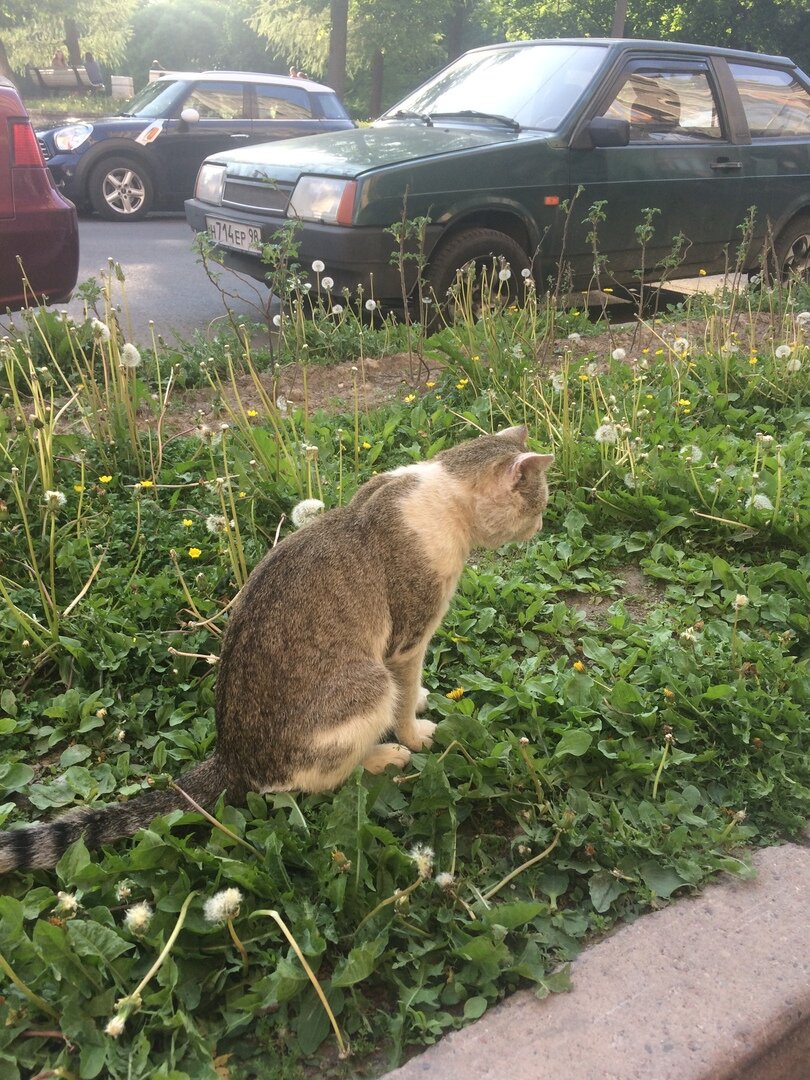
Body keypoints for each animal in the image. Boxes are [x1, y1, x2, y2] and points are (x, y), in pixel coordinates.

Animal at [0, 425, 552, 872]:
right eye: (540, 502)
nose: (541, 524)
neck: (441, 487)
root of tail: (231, 757)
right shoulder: (406, 639)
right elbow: (404, 690)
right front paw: (414, 732)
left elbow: (410, 689)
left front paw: (414, 701)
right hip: (365, 686)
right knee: (316, 782)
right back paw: (381, 757)